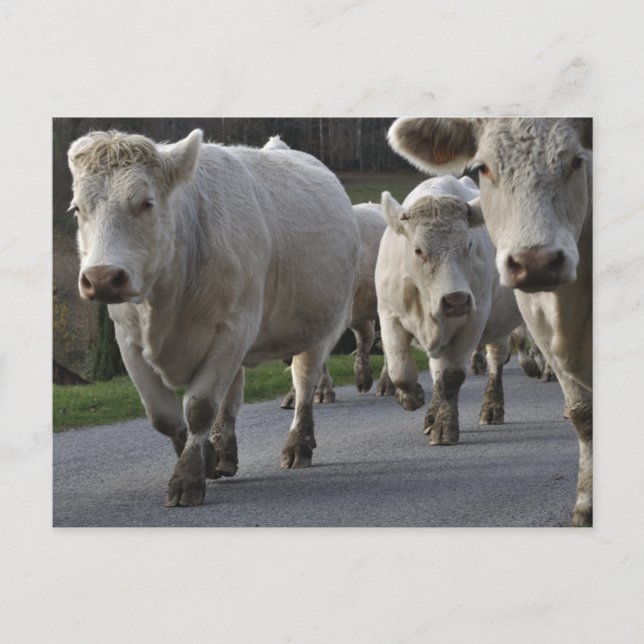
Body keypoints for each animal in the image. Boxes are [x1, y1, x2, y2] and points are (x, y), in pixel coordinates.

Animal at [68, 129, 360, 507]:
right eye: (77, 208)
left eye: (146, 202)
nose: (102, 277)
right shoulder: (127, 339)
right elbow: (163, 415)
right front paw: (204, 457)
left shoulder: (234, 327)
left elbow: (200, 406)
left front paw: (188, 476)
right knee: (234, 392)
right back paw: (224, 452)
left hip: (322, 326)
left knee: (304, 382)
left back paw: (299, 444)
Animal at [375, 175, 524, 446]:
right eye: (418, 249)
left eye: (469, 244)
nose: (456, 300)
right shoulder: (388, 315)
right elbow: (400, 370)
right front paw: (410, 397)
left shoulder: (474, 318)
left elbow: (451, 376)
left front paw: (445, 426)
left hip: (500, 328)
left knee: (495, 361)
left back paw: (491, 408)